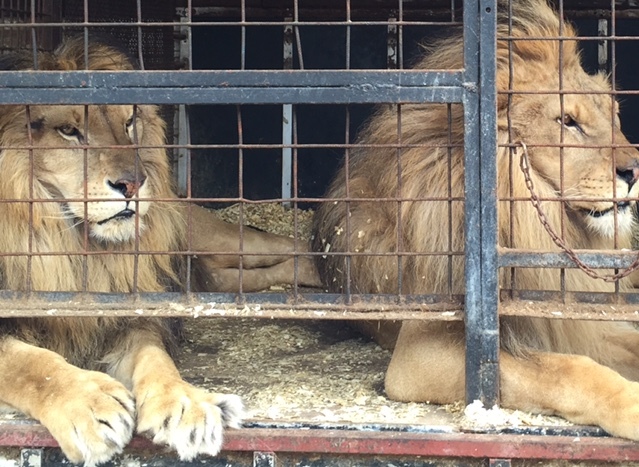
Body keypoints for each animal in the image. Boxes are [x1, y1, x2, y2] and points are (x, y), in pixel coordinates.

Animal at [0, 38, 318, 466]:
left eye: (129, 123)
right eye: (68, 131)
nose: (133, 184)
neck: (72, 249)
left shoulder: (132, 314)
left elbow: (156, 358)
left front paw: (186, 405)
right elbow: (30, 363)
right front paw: (89, 405)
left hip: (226, 241)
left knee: (295, 247)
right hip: (221, 276)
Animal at [312, 0, 639, 438]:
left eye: (614, 115)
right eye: (568, 122)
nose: (634, 171)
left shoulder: (578, 321)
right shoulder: (419, 353)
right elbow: (561, 372)